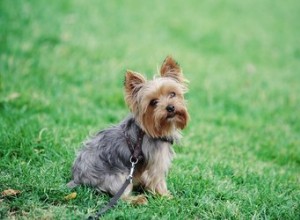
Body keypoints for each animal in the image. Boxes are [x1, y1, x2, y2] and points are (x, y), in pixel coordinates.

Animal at [68, 56, 190, 205]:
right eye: (153, 102)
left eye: (172, 94)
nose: (170, 107)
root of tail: (78, 178)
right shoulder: (157, 161)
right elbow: (158, 180)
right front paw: (166, 196)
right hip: (120, 176)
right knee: (120, 197)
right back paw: (138, 199)